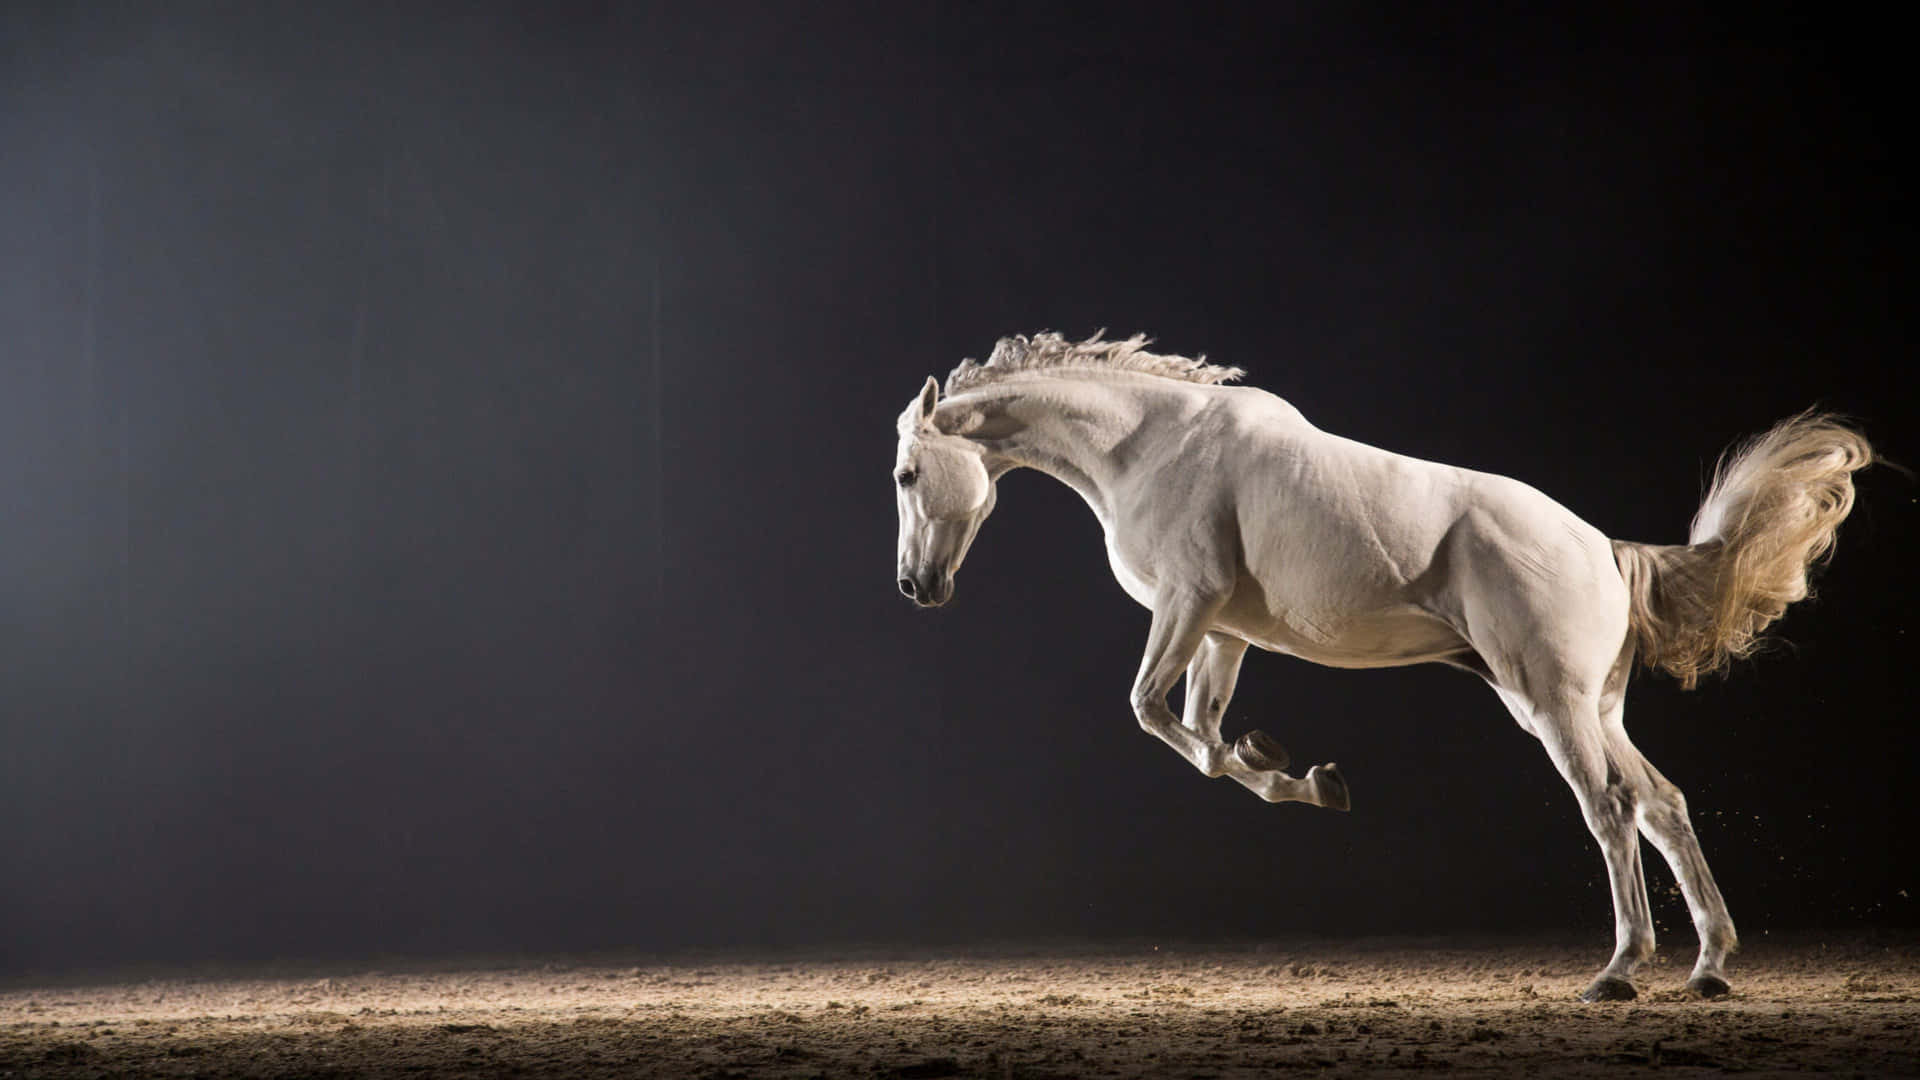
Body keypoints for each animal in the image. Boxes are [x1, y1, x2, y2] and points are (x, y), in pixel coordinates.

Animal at [892, 331, 1872, 1002]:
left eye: (905, 474)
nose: (915, 586)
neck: (1153, 444)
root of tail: (1605, 548)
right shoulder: (1223, 632)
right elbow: (1202, 735)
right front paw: (1298, 773)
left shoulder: (1187, 604)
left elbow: (1150, 711)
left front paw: (1290, 770)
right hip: (1582, 707)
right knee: (1662, 803)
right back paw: (1709, 966)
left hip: (1553, 704)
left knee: (1611, 808)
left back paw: (1621, 970)